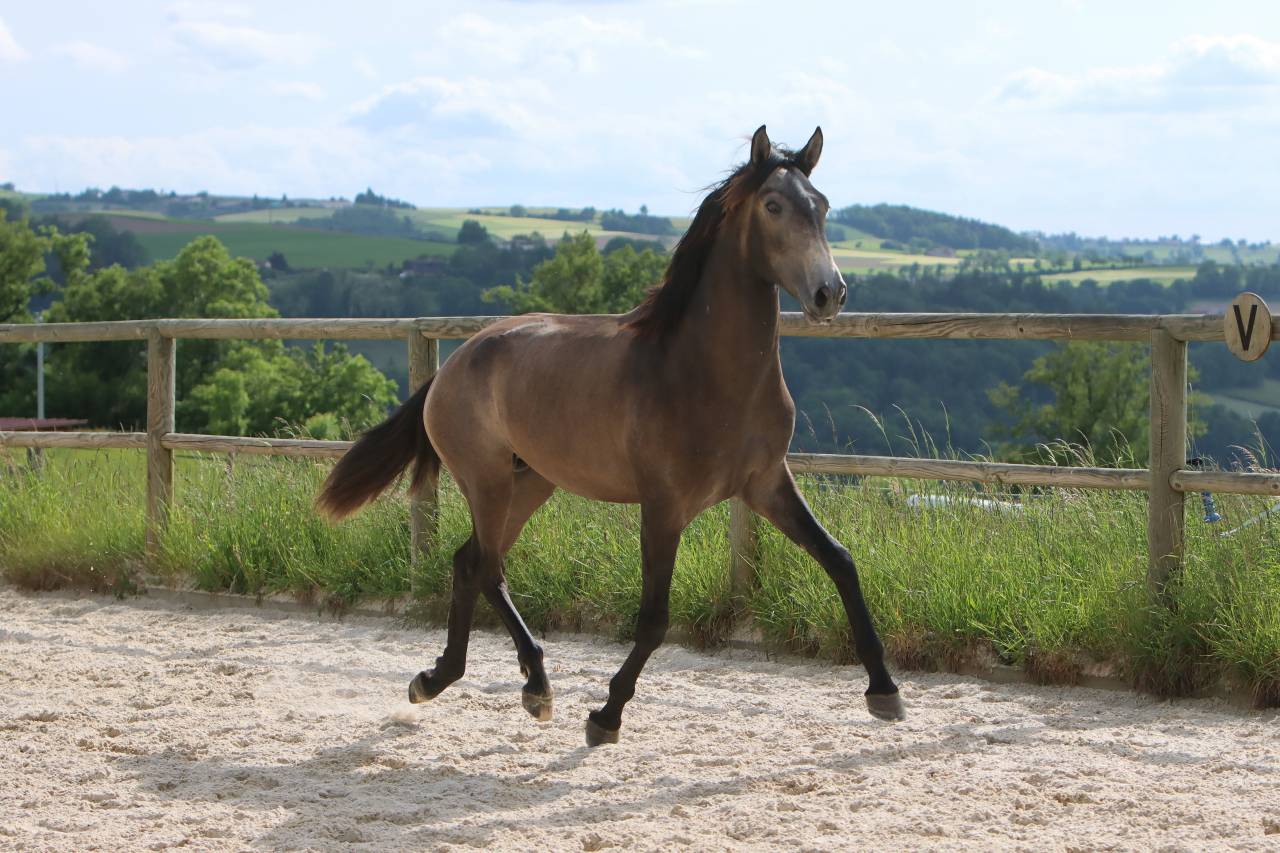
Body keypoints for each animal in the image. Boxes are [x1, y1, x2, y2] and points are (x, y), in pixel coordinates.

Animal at [317, 125, 906, 746]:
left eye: (822, 206)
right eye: (773, 206)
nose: (829, 293)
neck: (704, 374)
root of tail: (455, 363)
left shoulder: (766, 483)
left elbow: (841, 561)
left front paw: (885, 690)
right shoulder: (664, 506)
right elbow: (653, 619)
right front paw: (605, 715)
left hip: (532, 483)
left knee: (469, 562)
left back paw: (445, 679)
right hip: (487, 481)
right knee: (489, 568)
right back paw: (529, 687)